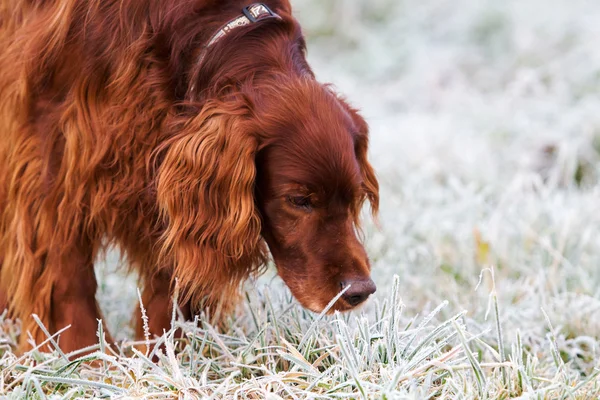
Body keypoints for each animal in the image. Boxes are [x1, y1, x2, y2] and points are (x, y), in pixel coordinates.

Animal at [0, 0, 378, 354]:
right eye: (299, 200)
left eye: (355, 196)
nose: (361, 291)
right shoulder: (53, 145)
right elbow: (66, 267)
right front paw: (80, 355)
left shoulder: (164, 165)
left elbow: (175, 271)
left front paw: (166, 352)